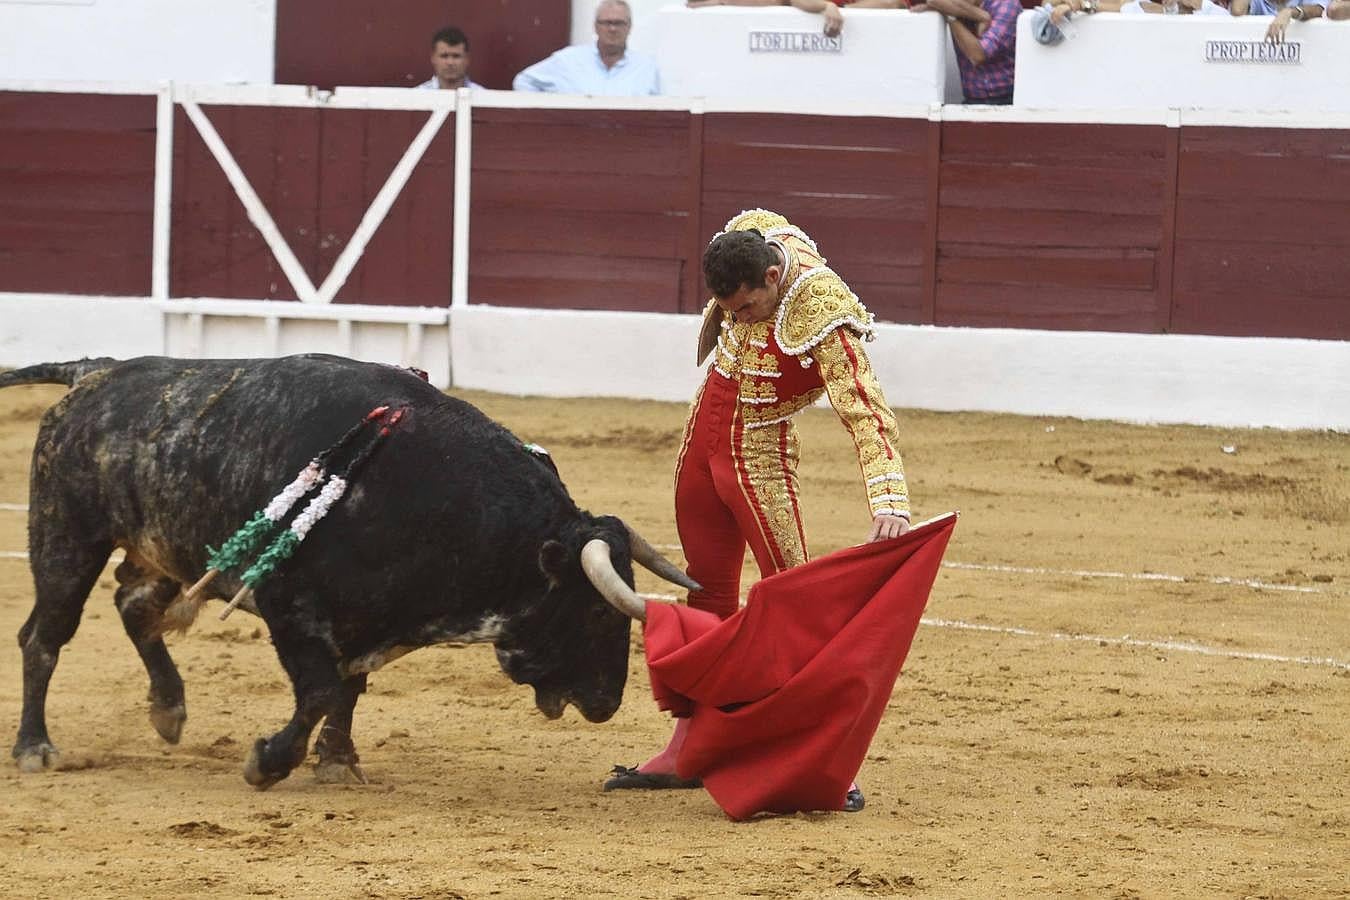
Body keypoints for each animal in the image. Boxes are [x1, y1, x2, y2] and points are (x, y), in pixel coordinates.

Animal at [5, 353, 691, 788]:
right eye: (596, 611)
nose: (606, 702)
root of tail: (94, 373)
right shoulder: (291, 608)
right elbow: (320, 691)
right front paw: (268, 763)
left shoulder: (365, 620)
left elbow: (347, 689)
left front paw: (337, 761)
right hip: (66, 539)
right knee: (45, 636)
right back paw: (35, 748)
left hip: (163, 546)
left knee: (136, 606)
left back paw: (169, 710)